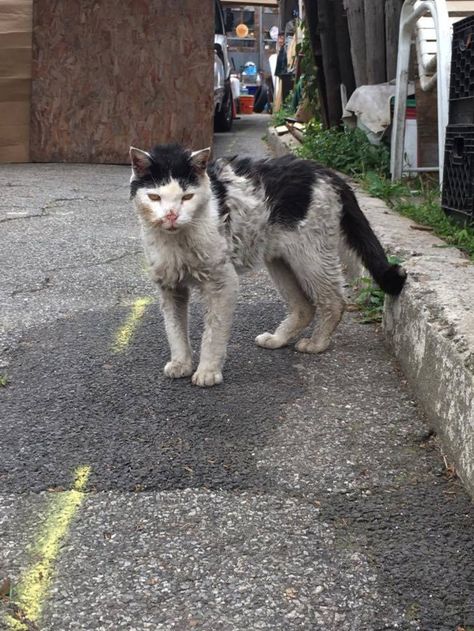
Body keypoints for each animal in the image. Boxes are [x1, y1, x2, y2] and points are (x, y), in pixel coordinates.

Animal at [130, 145, 408, 388]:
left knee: (334, 301)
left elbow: (213, 333)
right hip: (281, 261)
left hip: (310, 256)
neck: (176, 240)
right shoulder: (170, 288)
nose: (171, 215)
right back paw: (277, 339)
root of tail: (325, 171)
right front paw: (181, 363)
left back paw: (317, 344)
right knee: (304, 307)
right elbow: (174, 330)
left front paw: (208, 370)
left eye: (187, 197)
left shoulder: (222, 283)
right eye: (154, 197)